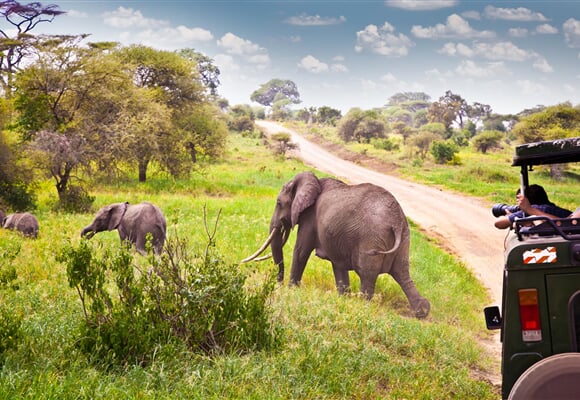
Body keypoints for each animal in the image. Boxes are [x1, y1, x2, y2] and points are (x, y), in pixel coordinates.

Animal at [242, 172, 428, 318]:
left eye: (279, 203)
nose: (278, 284)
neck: (314, 181)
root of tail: (395, 220)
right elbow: (338, 265)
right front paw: (343, 298)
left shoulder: (310, 218)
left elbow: (301, 252)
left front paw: (291, 290)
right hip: (404, 238)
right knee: (402, 273)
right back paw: (422, 311)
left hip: (372, 238)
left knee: (368, 274)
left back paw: (362, 306)